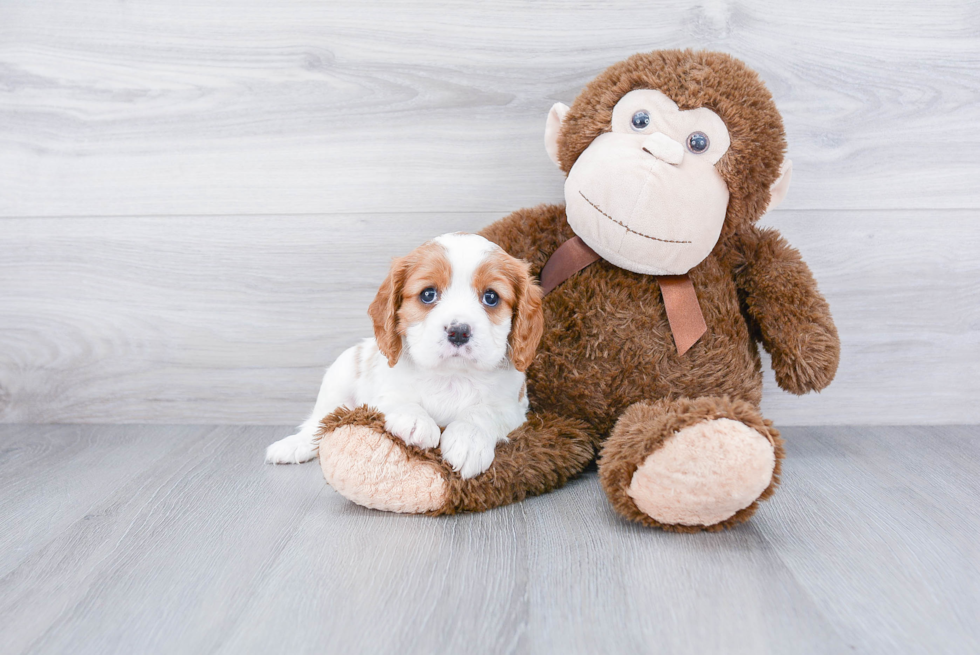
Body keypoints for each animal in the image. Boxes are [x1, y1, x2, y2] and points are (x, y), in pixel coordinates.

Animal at [264, 233, 548, 480]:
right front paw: (415, 421)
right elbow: (399, 401)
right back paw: (293, 446)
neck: (452, 376)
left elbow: (482, 412)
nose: (458, 332)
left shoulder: (512, 408)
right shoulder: (381, 394)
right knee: (320, 422)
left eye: (491, 297)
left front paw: (468, 440)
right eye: (428, 294)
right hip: (339, 377)